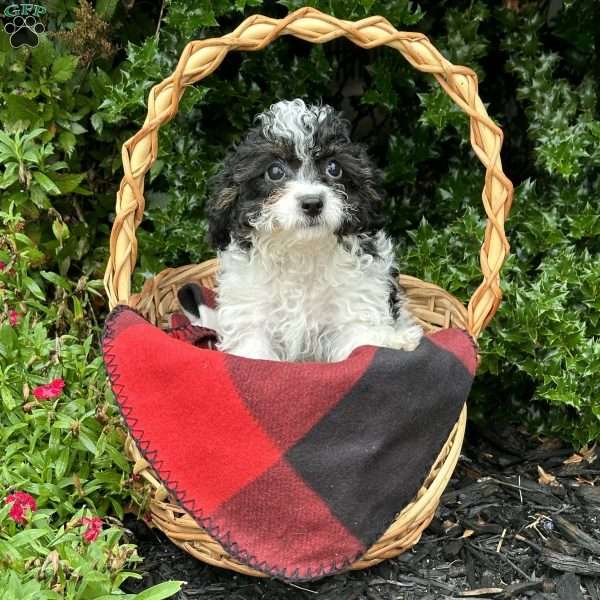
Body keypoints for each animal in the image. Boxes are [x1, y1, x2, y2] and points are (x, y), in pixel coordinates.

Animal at [178, 99, 422, 360]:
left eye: (334, 168)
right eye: (274, 171)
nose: (313, 203)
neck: (301, 251)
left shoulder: (355, 311)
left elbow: (362, 345)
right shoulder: (252, 321)